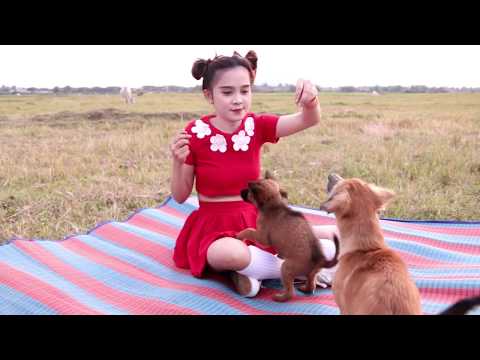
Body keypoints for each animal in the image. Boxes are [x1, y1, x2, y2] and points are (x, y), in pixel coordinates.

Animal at [237, 173, 342, 302]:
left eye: (249, 191)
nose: (240, 191)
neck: (274, 204)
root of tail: (320, 260)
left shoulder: (262, 237)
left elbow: (249, 230)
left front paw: (240, 236)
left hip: (286, 268)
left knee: (290, 292)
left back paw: (280, 297)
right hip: (312, 274)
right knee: (311, 284)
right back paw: (304, 289)